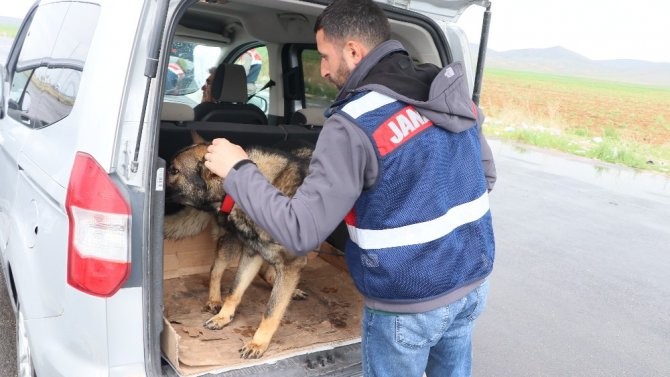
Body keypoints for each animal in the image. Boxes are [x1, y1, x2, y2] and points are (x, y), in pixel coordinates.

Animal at [167, 140, 316, 356]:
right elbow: (235, 289)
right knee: (217, 269)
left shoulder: (290, 264)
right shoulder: (252, 253)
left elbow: (272, 310)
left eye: (174, 170)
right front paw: (223, 317)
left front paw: (258, 343)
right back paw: (215, 300)